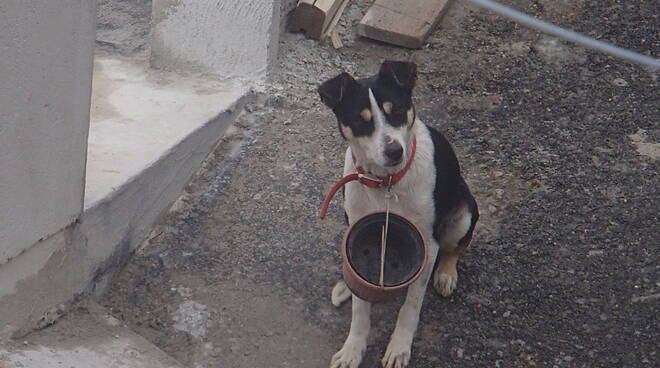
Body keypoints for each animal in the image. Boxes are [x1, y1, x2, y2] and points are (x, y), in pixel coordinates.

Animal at [318, 61, 476, 368]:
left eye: (399, 109)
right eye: (361, 121)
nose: (394, 151)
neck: (387, 183)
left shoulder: (428, 243)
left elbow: (411, 304)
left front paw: (399, 346)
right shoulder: (357, 231)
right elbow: (360, 308)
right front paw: (353, 348)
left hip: (464, 213)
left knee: (456, 248)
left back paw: (446, 274)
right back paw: (344, 286)